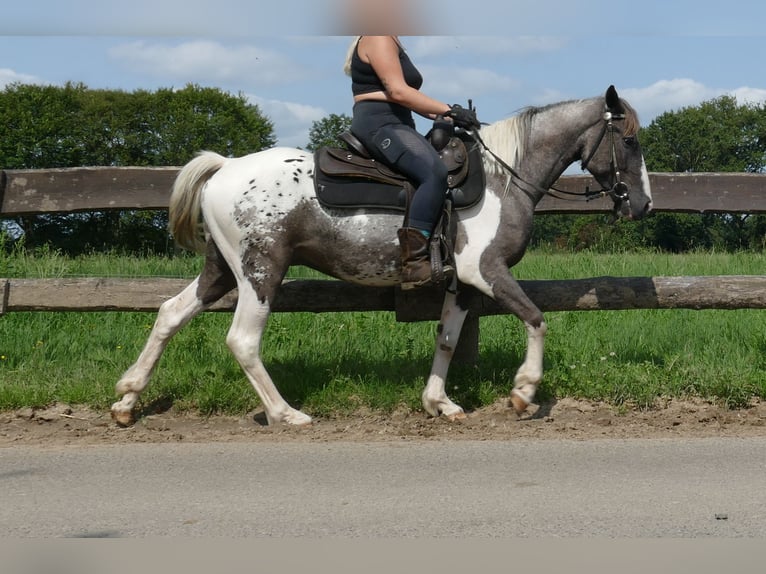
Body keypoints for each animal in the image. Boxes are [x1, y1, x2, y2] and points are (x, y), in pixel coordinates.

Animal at [111, 84, 656, 428]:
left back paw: (128, 398)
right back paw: (287, 414)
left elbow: (447, 339)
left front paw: (439, 403)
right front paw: (524, 393)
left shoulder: (461, 283)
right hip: (262, 270)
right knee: (243, 341)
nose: (643, 204)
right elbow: (537, 317)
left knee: (170, 313)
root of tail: (225, 166)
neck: (505, 179)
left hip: (222, 269)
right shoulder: (486, 271)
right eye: (629, 139)